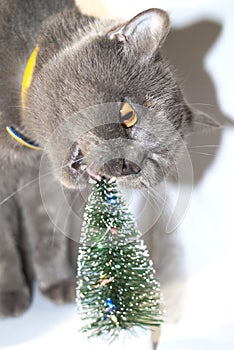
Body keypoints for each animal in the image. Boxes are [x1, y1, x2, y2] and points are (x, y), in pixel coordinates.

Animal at [0, 0, 218, 318]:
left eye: (156, 159)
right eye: (128, 115)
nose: (130, 166)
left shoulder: (40, 182)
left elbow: (46, 228)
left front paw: (58, 283)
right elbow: (5, 243)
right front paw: (11, 295)